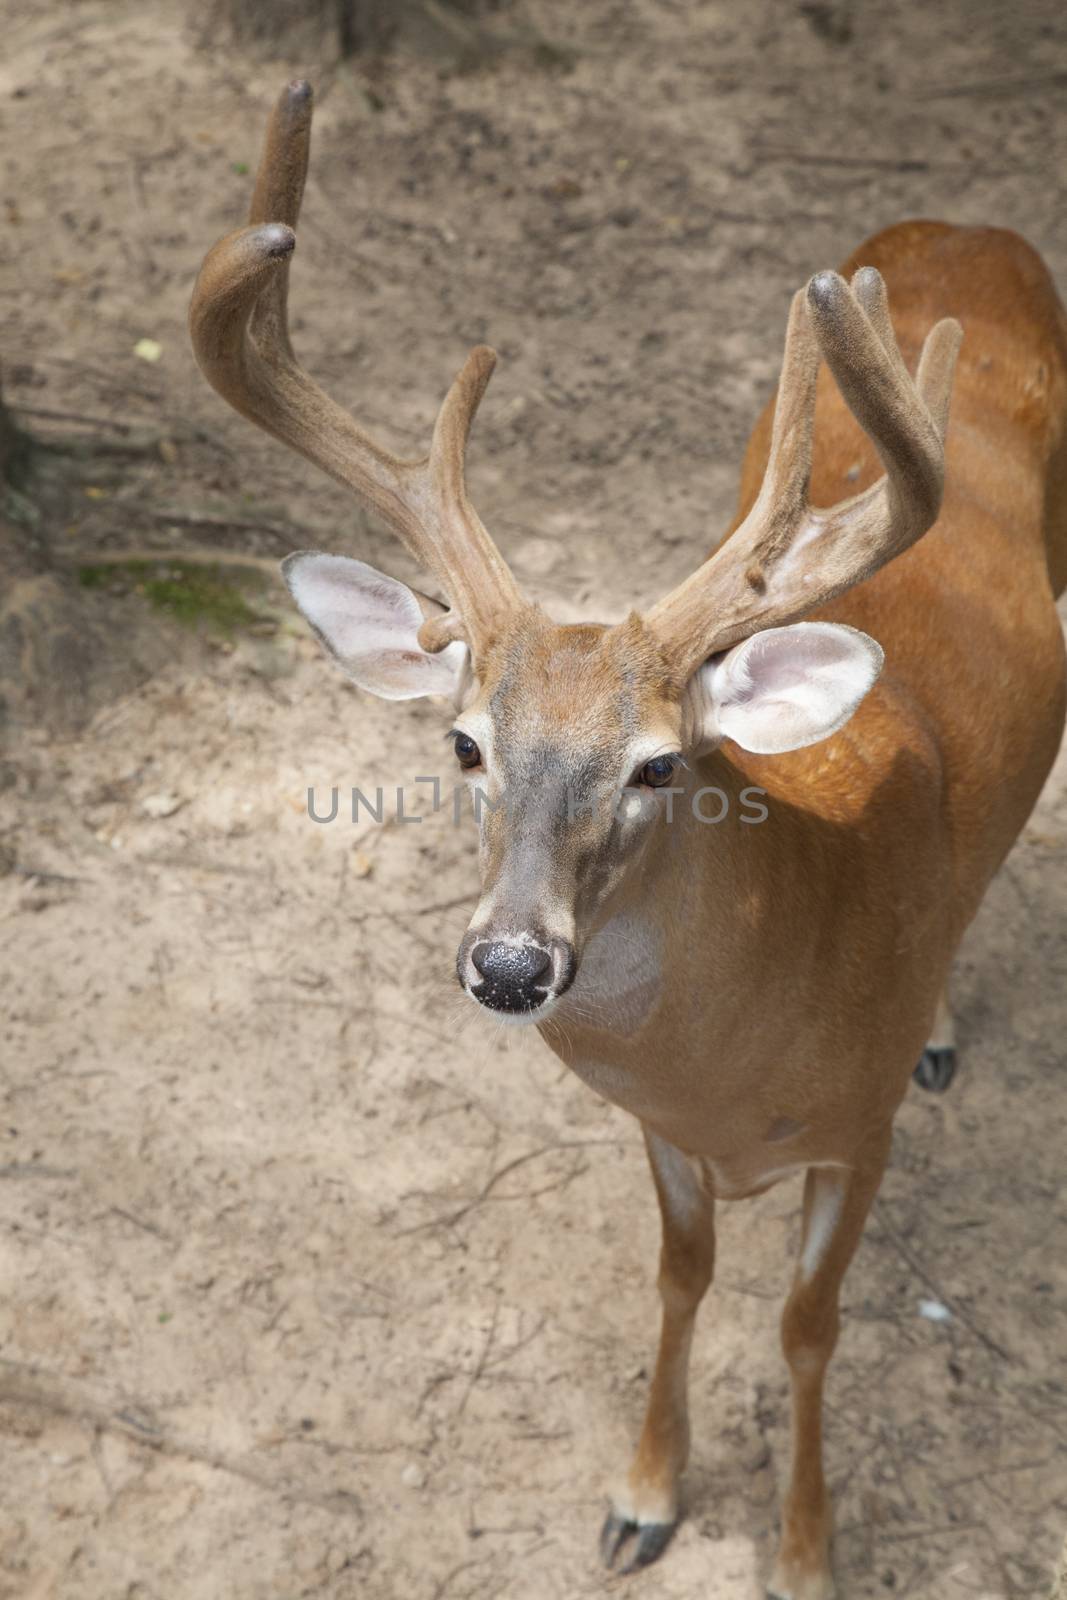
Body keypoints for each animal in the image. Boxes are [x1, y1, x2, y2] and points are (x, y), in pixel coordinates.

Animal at [189, 84, 1067, 1600]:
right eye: (463, 743)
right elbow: (681, 1276)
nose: (507, 965)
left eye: (660, 763)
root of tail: (971, 224)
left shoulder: (862, 1128)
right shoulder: (657, 1127)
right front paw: (641, 1498)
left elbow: (807, 1326)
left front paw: (803, 1553)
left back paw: (944, 1022)